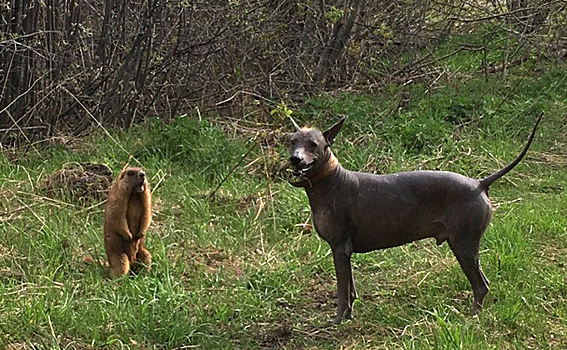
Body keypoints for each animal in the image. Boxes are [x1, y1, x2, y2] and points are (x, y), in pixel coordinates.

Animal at [290, 115, 544, 326]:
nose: (295, 159)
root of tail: (479, 183)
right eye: (291, 141)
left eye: (313, 144)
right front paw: (349, 315)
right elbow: (350, 289)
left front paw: (337, 321)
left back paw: (471, 318)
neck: (330, 182)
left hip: (464, 245)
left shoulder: (339, 248)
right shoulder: (345, 251)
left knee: (481, 286)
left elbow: (342, 291)